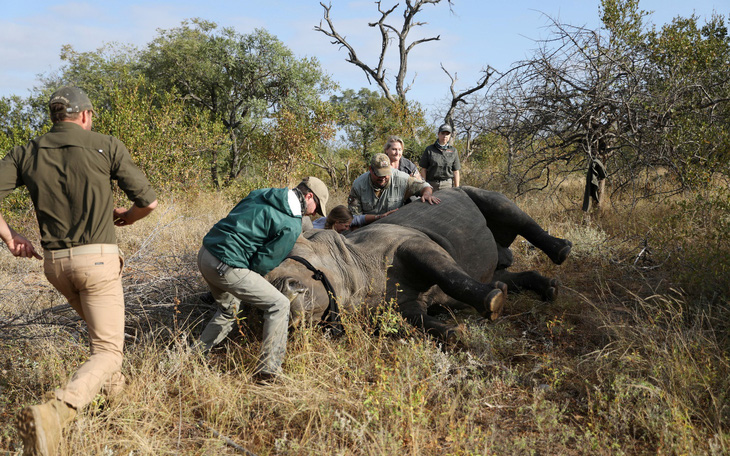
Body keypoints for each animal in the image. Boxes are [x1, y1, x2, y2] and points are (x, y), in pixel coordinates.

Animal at [264, 185, 572, 338]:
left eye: (296, 254)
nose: (283, 291)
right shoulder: (401, 303)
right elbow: (422, 321)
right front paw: (456, 331)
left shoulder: (411, 242)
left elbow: (449, 274)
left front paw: (494, 302)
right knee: (497, 271)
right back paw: (548, 289)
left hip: (467, 190)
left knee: (504, 207)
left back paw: (563, 252)